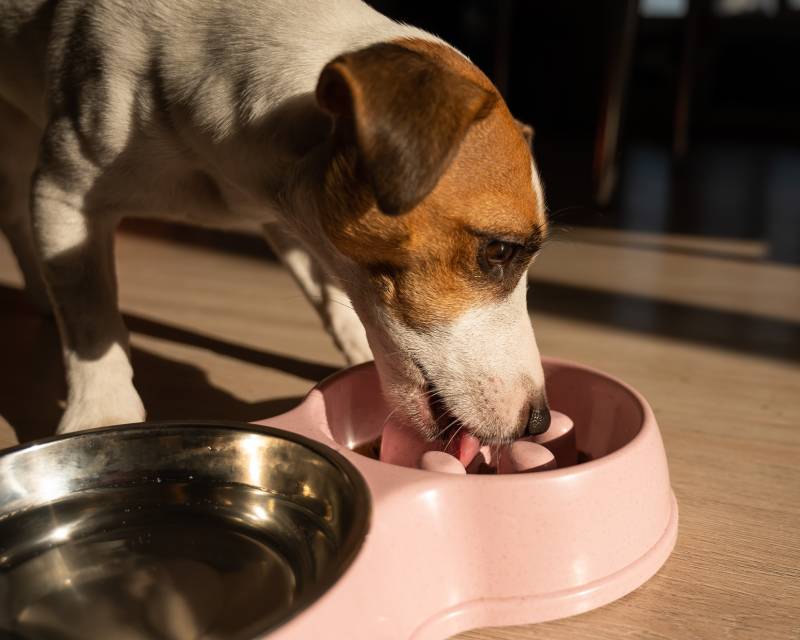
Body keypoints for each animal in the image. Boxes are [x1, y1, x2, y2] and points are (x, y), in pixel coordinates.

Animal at [0, 0, 552, 448]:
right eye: (500, 250)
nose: (539, 421)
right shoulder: (65, 195)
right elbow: (92, 320)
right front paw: (102, 413)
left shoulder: (294, 224)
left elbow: (335, 302)